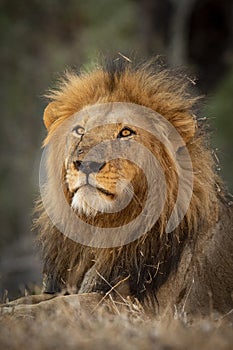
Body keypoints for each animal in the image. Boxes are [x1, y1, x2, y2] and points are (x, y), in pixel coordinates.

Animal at [4, 60, 232, 320]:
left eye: (125, 133)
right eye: (79, 130)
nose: (86, 164)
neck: (103, 228)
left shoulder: (147, 309)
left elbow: (67, 305)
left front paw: (13, 316)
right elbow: (39, 299)